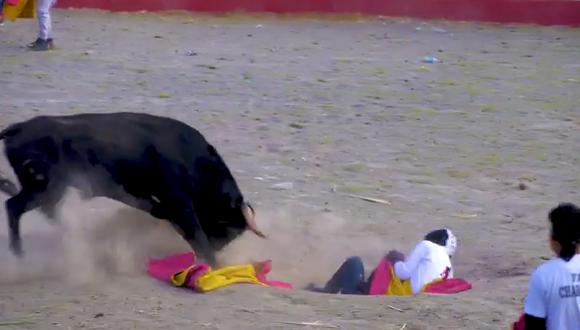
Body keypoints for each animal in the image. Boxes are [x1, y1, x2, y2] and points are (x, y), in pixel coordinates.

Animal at [0, 112, 266, 264]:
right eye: (226, 225)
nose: (218, 249)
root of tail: (19, 128)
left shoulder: (143, 195)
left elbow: (160, 213)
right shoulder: (178, 199)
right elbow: (192, 229)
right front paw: (213, 263)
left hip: (49, 189)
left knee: (44, 209)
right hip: (44, 187)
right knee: (15, 206)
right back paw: (20, 253)